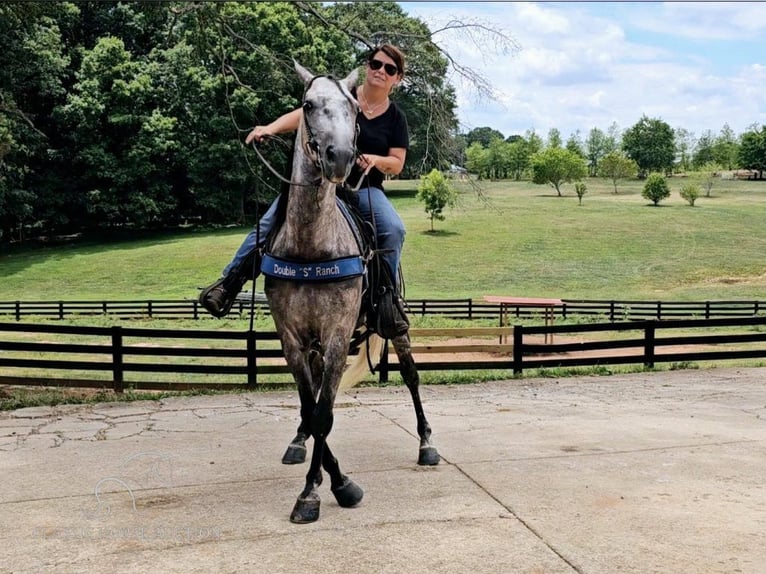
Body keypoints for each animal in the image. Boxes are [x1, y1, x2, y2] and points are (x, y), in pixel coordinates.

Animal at [264, 63, 440, 528]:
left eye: (354, 111)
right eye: (307, 105)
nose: (341, 158)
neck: (310, 244)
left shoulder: (338, 335)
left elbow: (324, 413)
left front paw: (324, 490)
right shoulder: (292, 339)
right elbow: (311, 411)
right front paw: (325, 476)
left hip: (394, 326)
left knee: (411, 376)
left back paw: (427, 444)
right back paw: (297, 441)